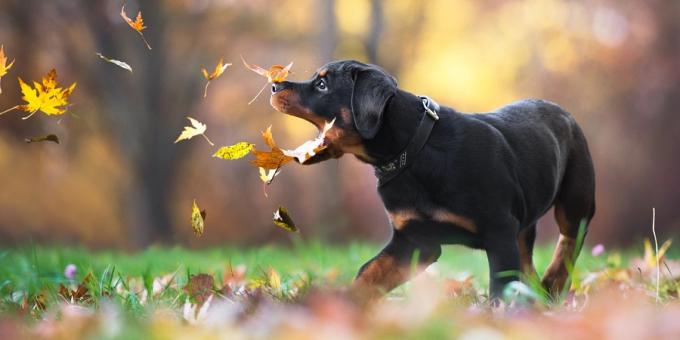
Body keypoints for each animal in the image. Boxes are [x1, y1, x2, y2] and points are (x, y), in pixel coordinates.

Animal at [270, 60, 596, 300]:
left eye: (322, 84)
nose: (274, 84)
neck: (413, 151)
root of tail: (562, 111)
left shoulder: (499, 232)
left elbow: (499, 288)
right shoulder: (413, 240)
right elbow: (368, 275)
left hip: (576, 195)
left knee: (570, 237)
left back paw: (554, 283)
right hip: (523, 220)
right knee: (528, 261)